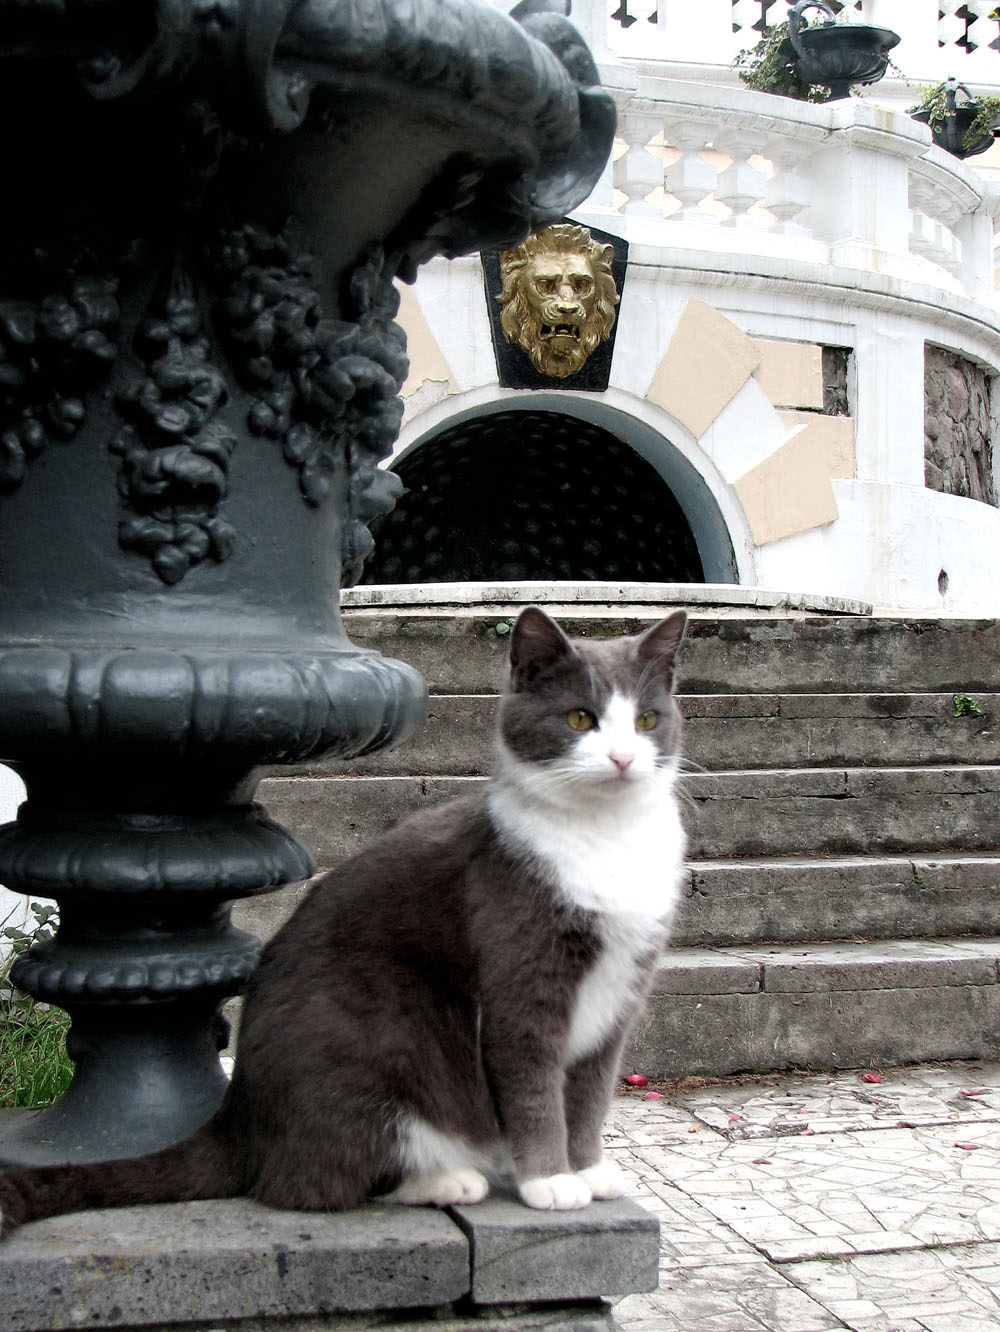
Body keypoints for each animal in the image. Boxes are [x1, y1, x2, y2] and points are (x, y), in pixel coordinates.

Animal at [0, 605, 687, 1234]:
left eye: (647, 720)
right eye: (580, 718)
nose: (623, 757)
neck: (604, 837)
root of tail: (238, 1115)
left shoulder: (620, 993)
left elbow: (590, 1091)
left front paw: (589, 1170)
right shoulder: (522, 970)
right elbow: (534, 1085)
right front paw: (549, 1180)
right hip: (390, 1021)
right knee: (309, 1183)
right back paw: (447, 1179)